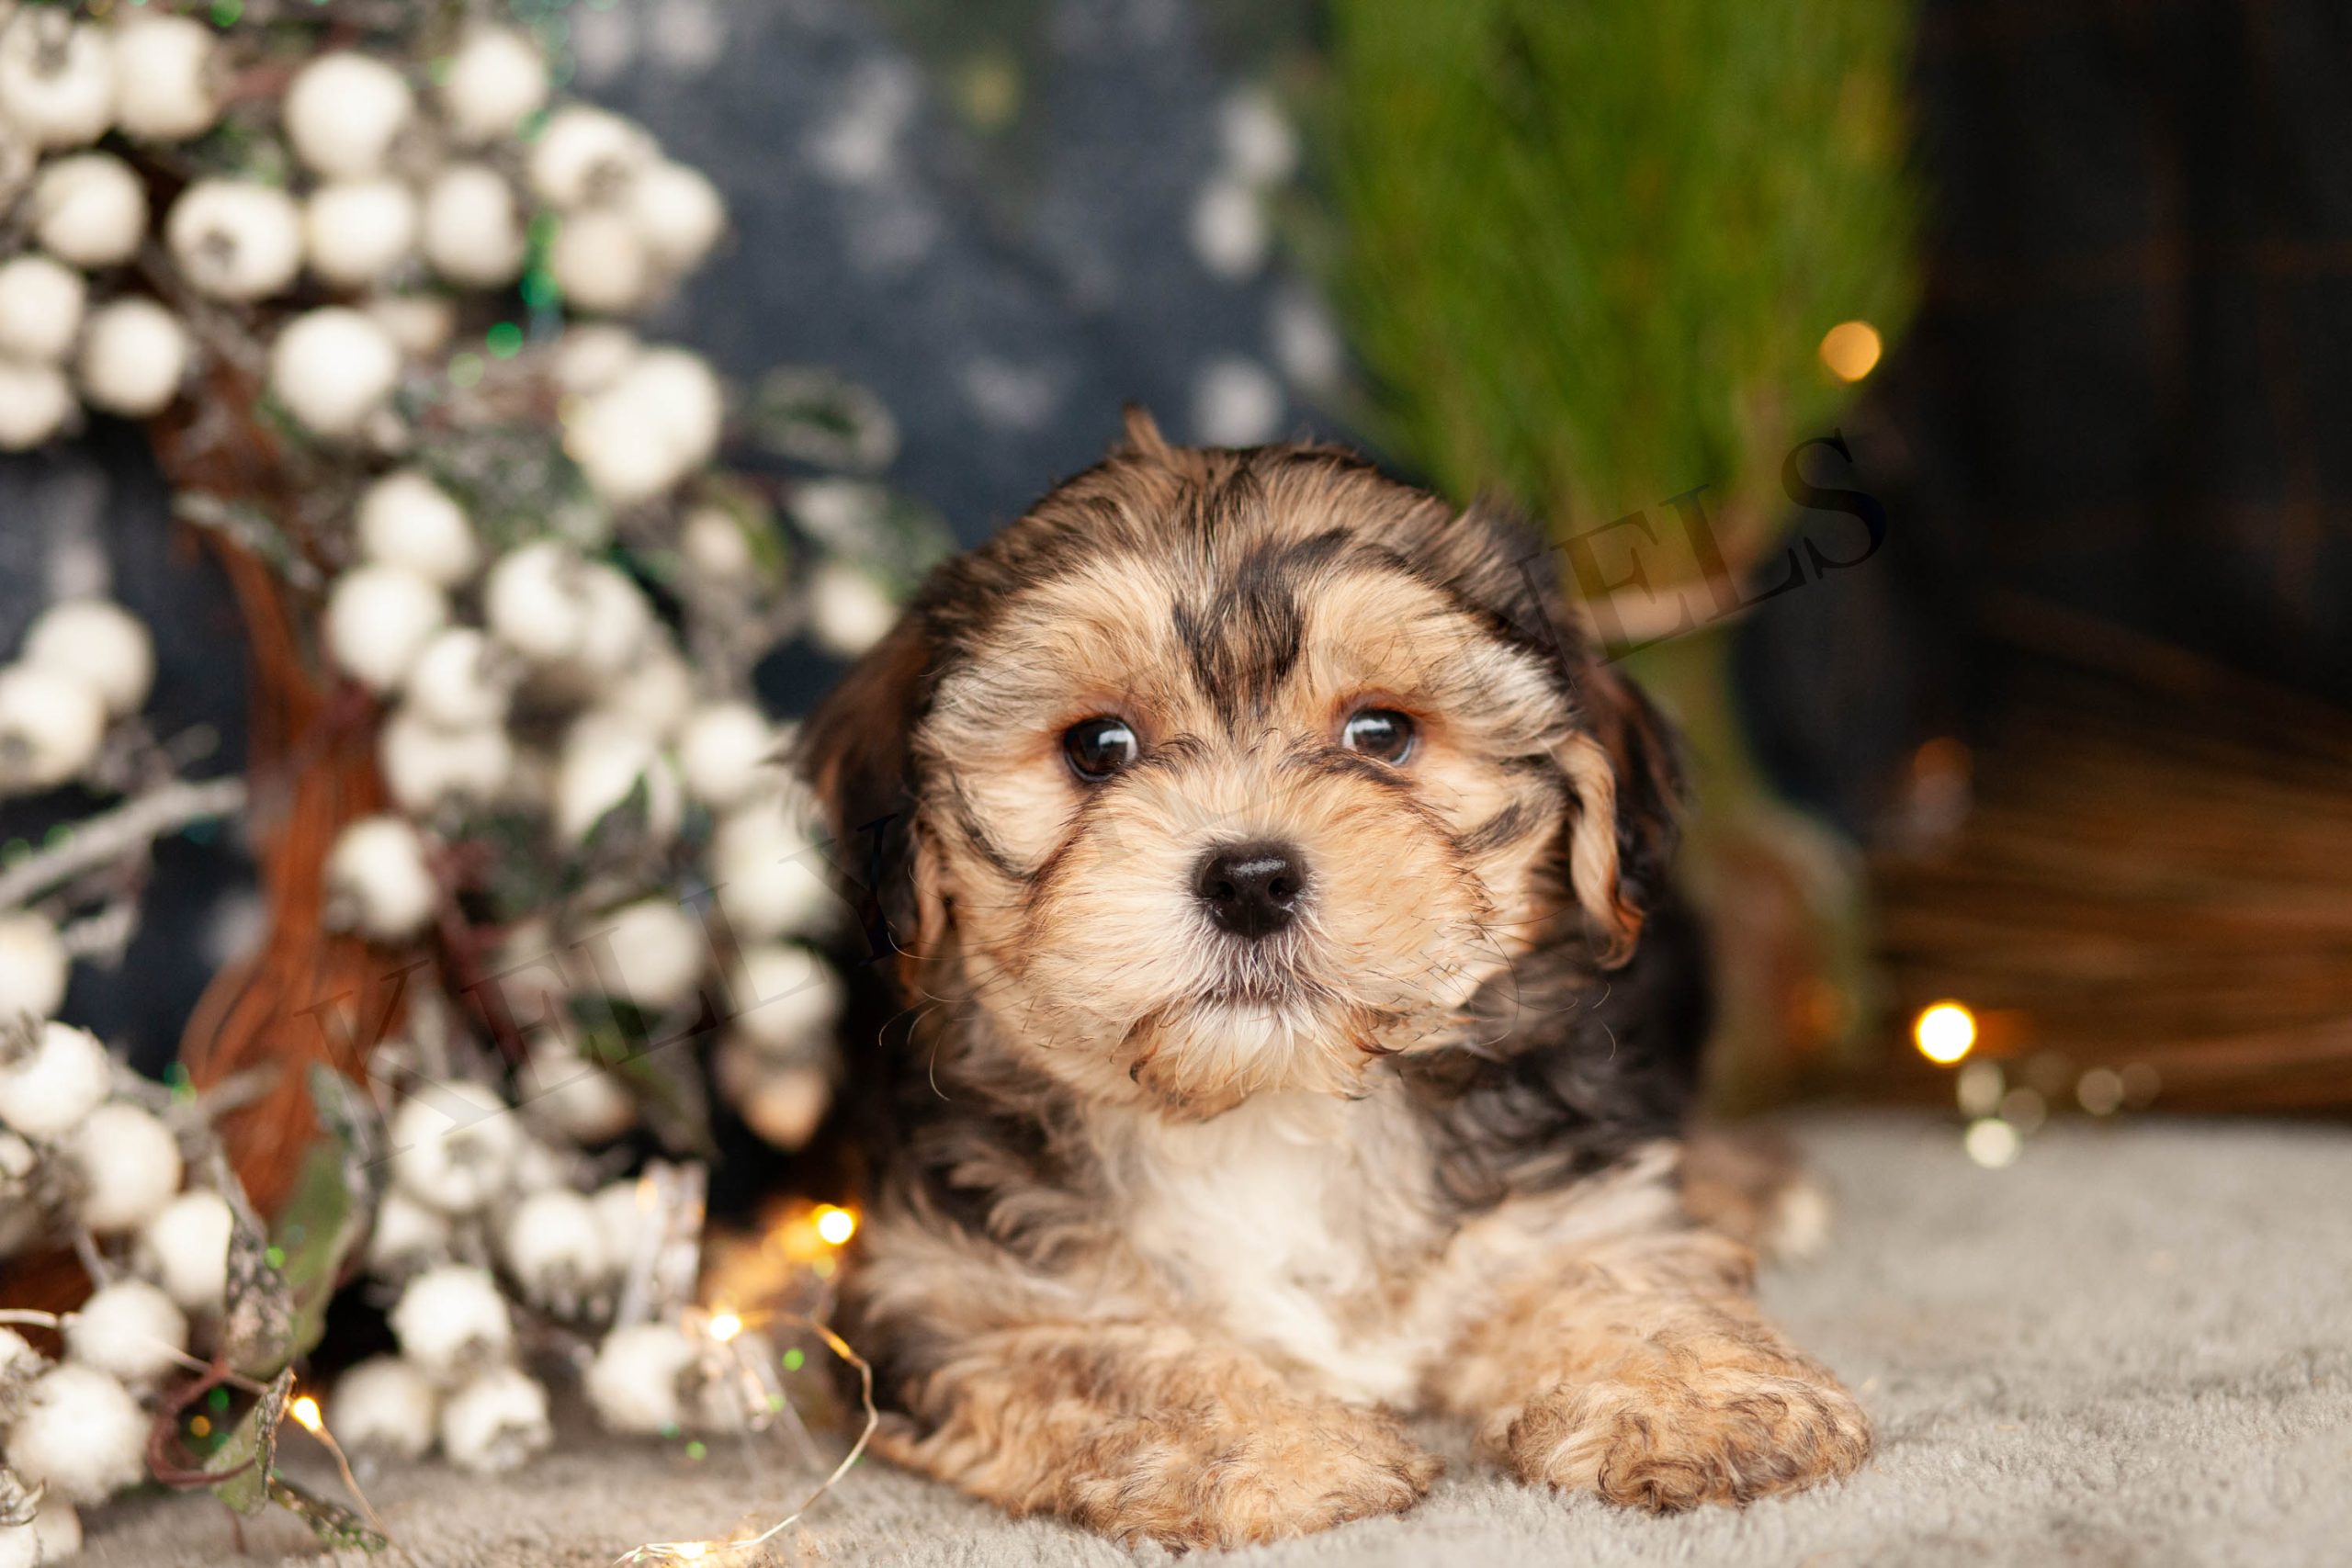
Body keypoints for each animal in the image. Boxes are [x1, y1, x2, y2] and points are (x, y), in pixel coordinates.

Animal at [794, 410, 1870, 1549]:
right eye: (1097, 748)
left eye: (1380, 734)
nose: (1250, 878)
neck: (1271, 1109)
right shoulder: (958, 1287)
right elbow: (1113, 1355)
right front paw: (1286, 1450)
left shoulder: (1556, 1205)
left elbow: (1619, 1273)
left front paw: (1708, 1400)